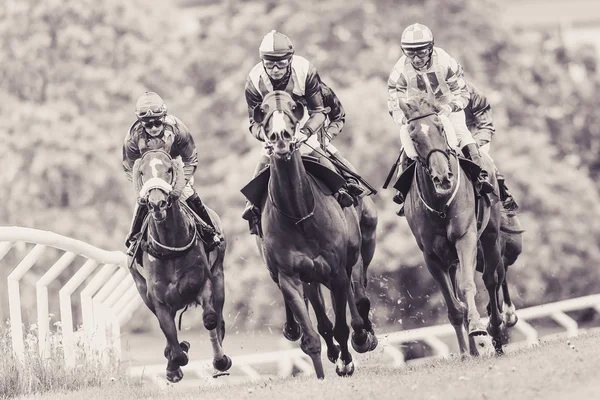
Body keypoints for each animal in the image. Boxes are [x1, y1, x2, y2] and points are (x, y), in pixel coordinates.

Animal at [127, 149, 231, 382]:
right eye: (141, 172)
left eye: (168, 169)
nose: (157, 203)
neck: (170, 246)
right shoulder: (159, 300)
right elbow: (171, 341)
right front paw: (174, 363)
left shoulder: (203, 284)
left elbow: (210, 320)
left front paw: (220, 360)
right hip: (142, 290)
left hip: (219, 276)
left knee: (218, 320)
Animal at [251, 90, 378, 378]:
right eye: (262, 110)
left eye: (294, 107)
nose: (280, 137)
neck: (299, 214)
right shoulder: (291, 275)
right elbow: (313, 336)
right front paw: (323, 373)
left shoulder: (337, 270)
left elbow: (344, 323)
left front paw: (347, 359)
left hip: (362, 245)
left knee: (357, 295)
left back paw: (362, 335)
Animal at [398, 95, 506, 354]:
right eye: (413, 137)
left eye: (440, 128)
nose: (443, 177)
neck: (440, 203)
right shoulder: (431, 256)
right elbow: (454, 307)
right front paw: (466, 353)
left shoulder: (465, 238)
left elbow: (468, 286)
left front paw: (478, 327)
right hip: (450, 258)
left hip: (490, 235)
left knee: (491, 279)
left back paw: (495, 330)